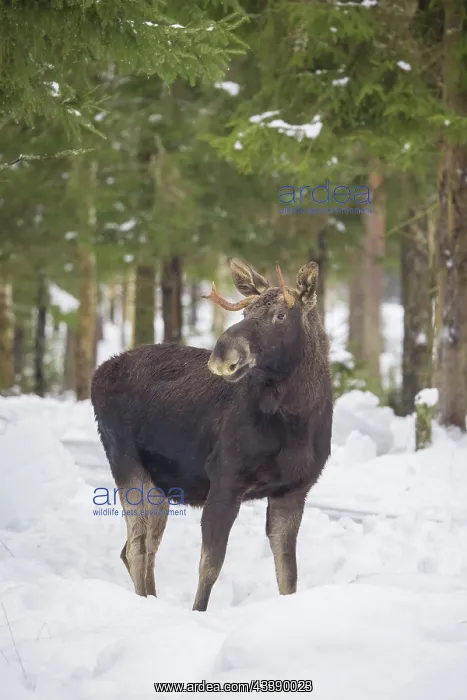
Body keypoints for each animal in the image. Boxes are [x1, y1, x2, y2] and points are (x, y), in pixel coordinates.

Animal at [90, 258, 333, 611]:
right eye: (245, 315)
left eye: (280, 315)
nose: (222, 356)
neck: (297, 423)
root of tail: (96, 375)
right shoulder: (225, 476)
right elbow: (210, 565)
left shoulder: (294, 490)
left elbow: (288, 576)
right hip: (125, 461)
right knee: (135, 548)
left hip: (160, 484)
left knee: (141, 547)